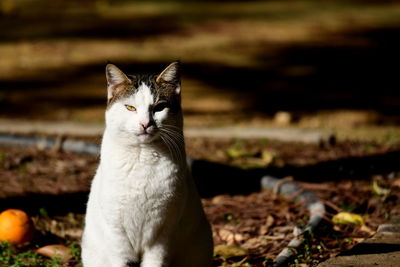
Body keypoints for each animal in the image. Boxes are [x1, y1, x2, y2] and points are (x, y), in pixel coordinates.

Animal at [80, 62, 212, 267]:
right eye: (130, 107)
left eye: (159, 107)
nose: (145, 124)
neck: (142, 157)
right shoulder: (116, 231)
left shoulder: (163, 232)